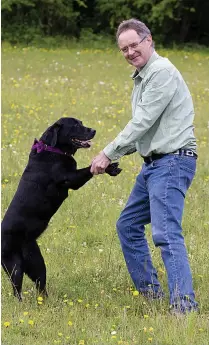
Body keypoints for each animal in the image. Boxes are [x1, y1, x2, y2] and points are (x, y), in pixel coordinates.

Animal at [1, 117, 121, 300]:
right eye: (75, 125)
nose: (93, 130)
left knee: (40, 284)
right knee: (17, 290)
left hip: (36, 261)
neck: (54, 149)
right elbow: (88, 169)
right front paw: (106, 166)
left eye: (82, 122)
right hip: (14, 266)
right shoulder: (70, 179)